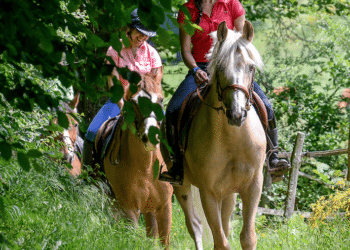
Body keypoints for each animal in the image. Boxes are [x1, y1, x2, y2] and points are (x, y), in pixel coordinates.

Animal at [98, 74, 174, 246]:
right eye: (133, 102)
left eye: (160, 100)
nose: (151, 137)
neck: (146, 168)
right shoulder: (130, 209)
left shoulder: (164, 207)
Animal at [169, 21, 266, 250]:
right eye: (221, 68)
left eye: (251, 67)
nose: (237, 114)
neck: (233, 139)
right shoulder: (209, 193)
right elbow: (221, 242)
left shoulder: (253, 186)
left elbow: (247, 237)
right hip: (182, 186)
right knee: (195, 225)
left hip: (229, 193)